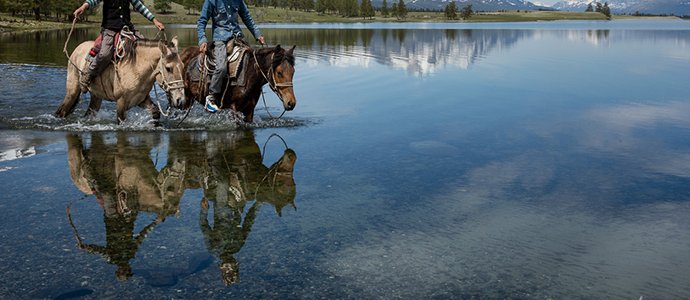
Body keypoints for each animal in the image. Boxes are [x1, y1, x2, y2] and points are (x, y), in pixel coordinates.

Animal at [56, 36, 185, 124]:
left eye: (183, 66)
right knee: (62, 110)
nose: (180, 100)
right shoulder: (121, 102)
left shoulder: (142, 99)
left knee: (89, 113)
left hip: (96, 97)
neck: (136, 67)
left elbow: (156, 112)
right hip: (72, 91)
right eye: (168, 68)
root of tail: (78, 48)